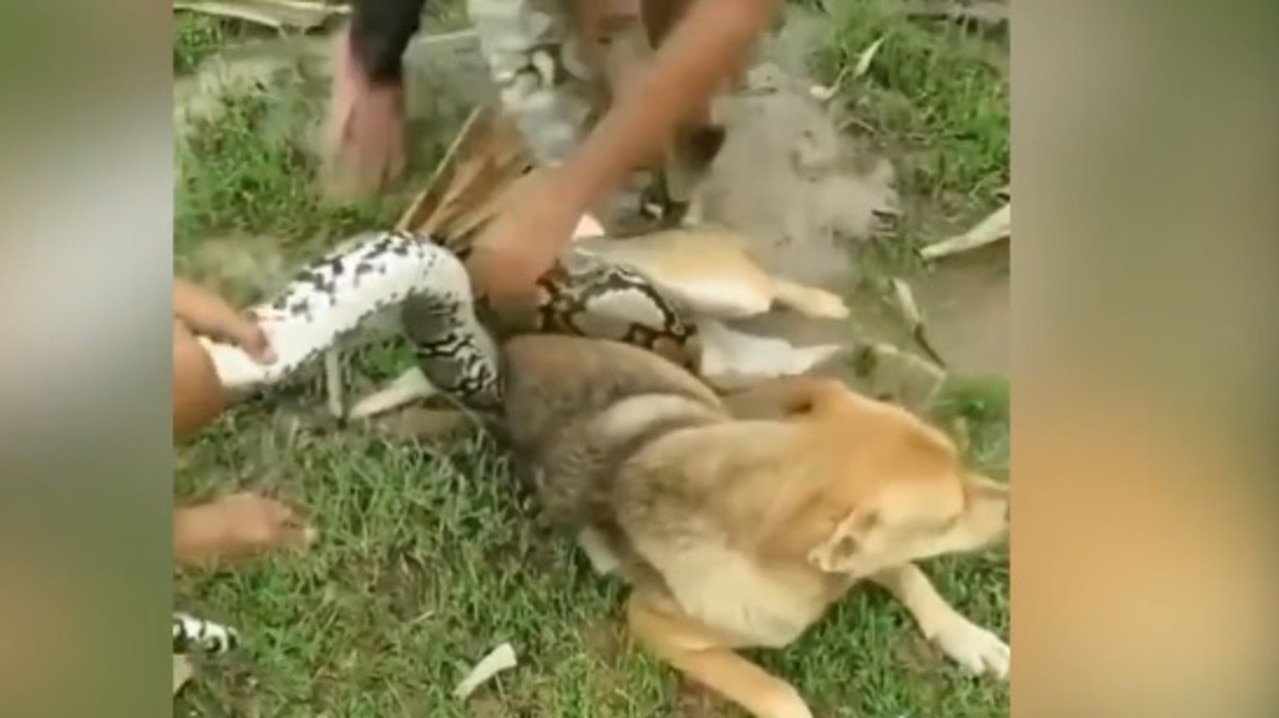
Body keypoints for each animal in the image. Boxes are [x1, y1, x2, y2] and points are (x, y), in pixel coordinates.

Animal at [498, 335, 1007, 716]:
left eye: (961, 460)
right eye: (949, 519)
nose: (1010, 502)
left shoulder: (855, 558)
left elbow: (910, 572)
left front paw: (969, 637)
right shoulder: (652, 622)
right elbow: (773, 690)